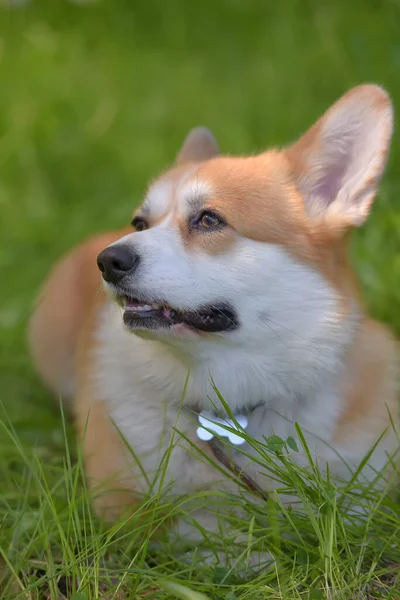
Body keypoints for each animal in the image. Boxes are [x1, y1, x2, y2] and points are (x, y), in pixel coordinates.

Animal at [28, 85, 396, 552]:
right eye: (140, 223)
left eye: (209, 219)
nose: (108, 261)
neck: (231, 402)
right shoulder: (125, 508)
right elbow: (210, 537)